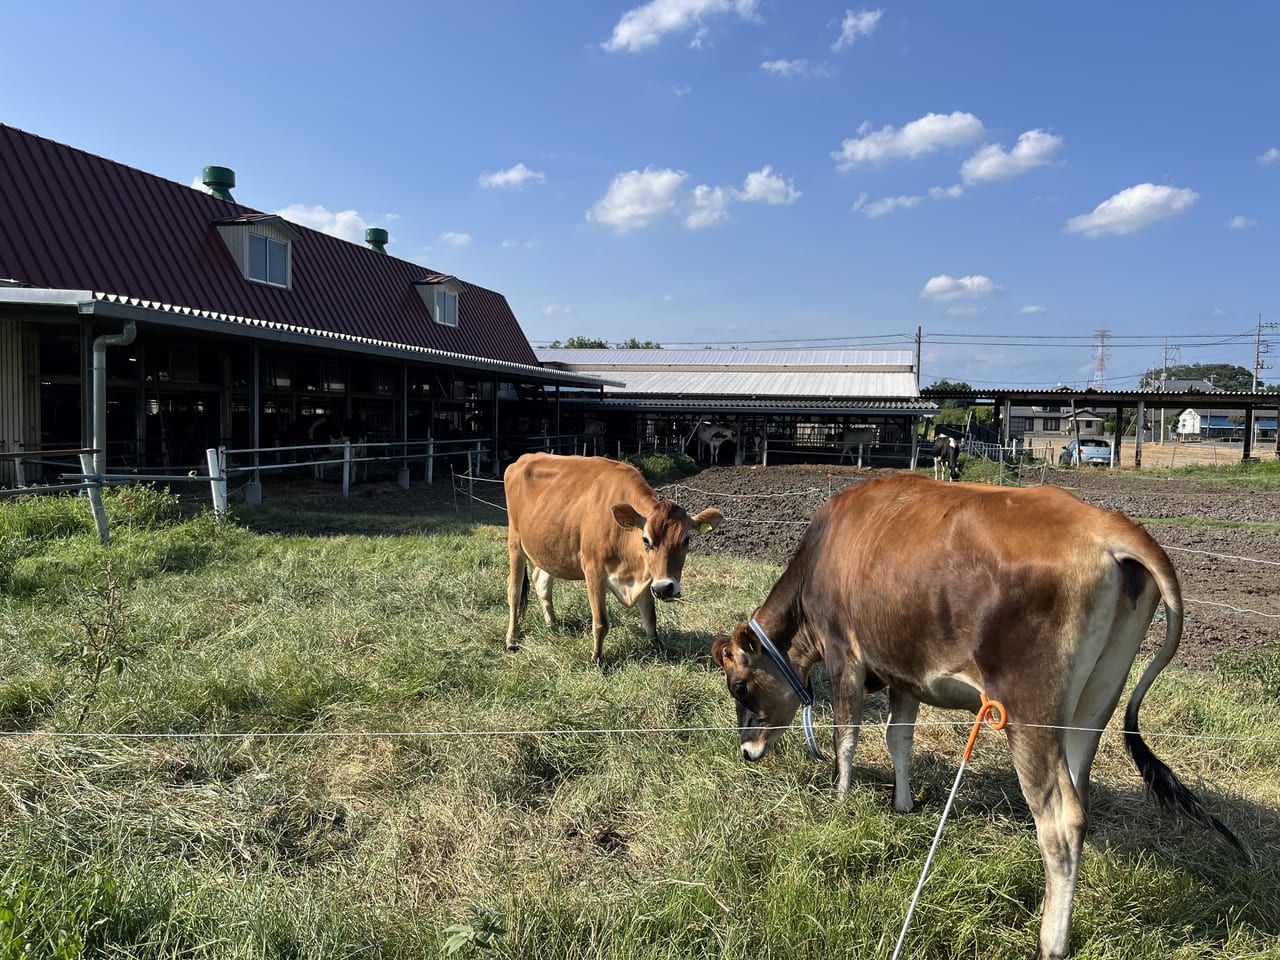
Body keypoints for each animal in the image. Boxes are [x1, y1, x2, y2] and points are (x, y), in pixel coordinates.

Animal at [504, 455, 727, 665]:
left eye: (687, 540)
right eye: (646, 540)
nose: (665, 588)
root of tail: (522, 459)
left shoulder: (647, 577)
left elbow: (650, 619)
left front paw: (659, 650)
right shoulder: (593, 570)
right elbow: (601, 622)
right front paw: (597, 659)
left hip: (549, 548)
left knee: (541, 581)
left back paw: (552, 625)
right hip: (515, 542)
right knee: (514, 591)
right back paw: (511, 640)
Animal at [706, 473, 1244, 960]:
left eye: (739, 686)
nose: (746, 751)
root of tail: (1104, 524)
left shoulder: (845, 653)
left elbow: (847, 735)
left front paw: (840, 803)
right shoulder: (905, 671)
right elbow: (898, 738)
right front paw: (902, 805)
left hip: (1029, 712)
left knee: (1061, 818)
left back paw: (1051, 942)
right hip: (1093, 703)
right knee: (1081, 794)